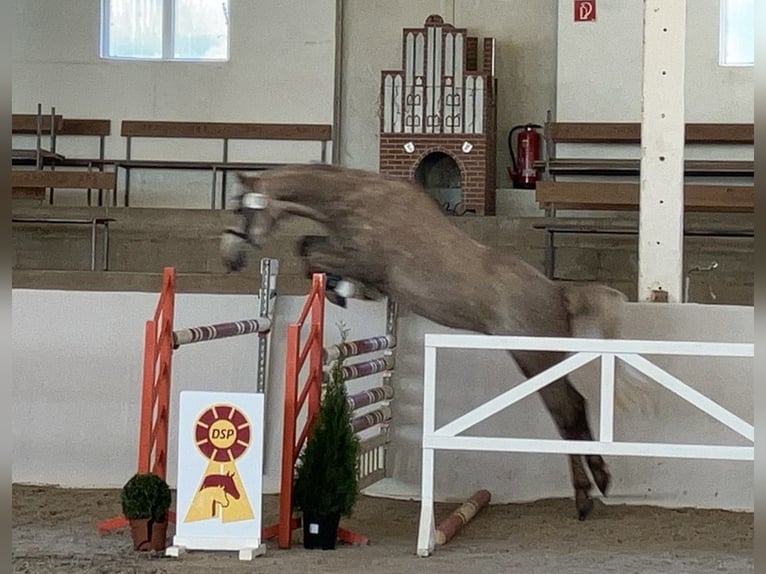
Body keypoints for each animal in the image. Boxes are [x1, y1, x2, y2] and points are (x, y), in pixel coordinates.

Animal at [220, 163, 651, 520]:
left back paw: (588, 492)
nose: (229, 259)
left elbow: (309, 250)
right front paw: (345, 290)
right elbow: (309, 247)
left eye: (242, 209)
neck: (356, 200)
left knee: (567, 412)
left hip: (533, 358)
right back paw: (596, 483)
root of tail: (560, 294)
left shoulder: (362, 258)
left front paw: (342, 290)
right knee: (574, 410)